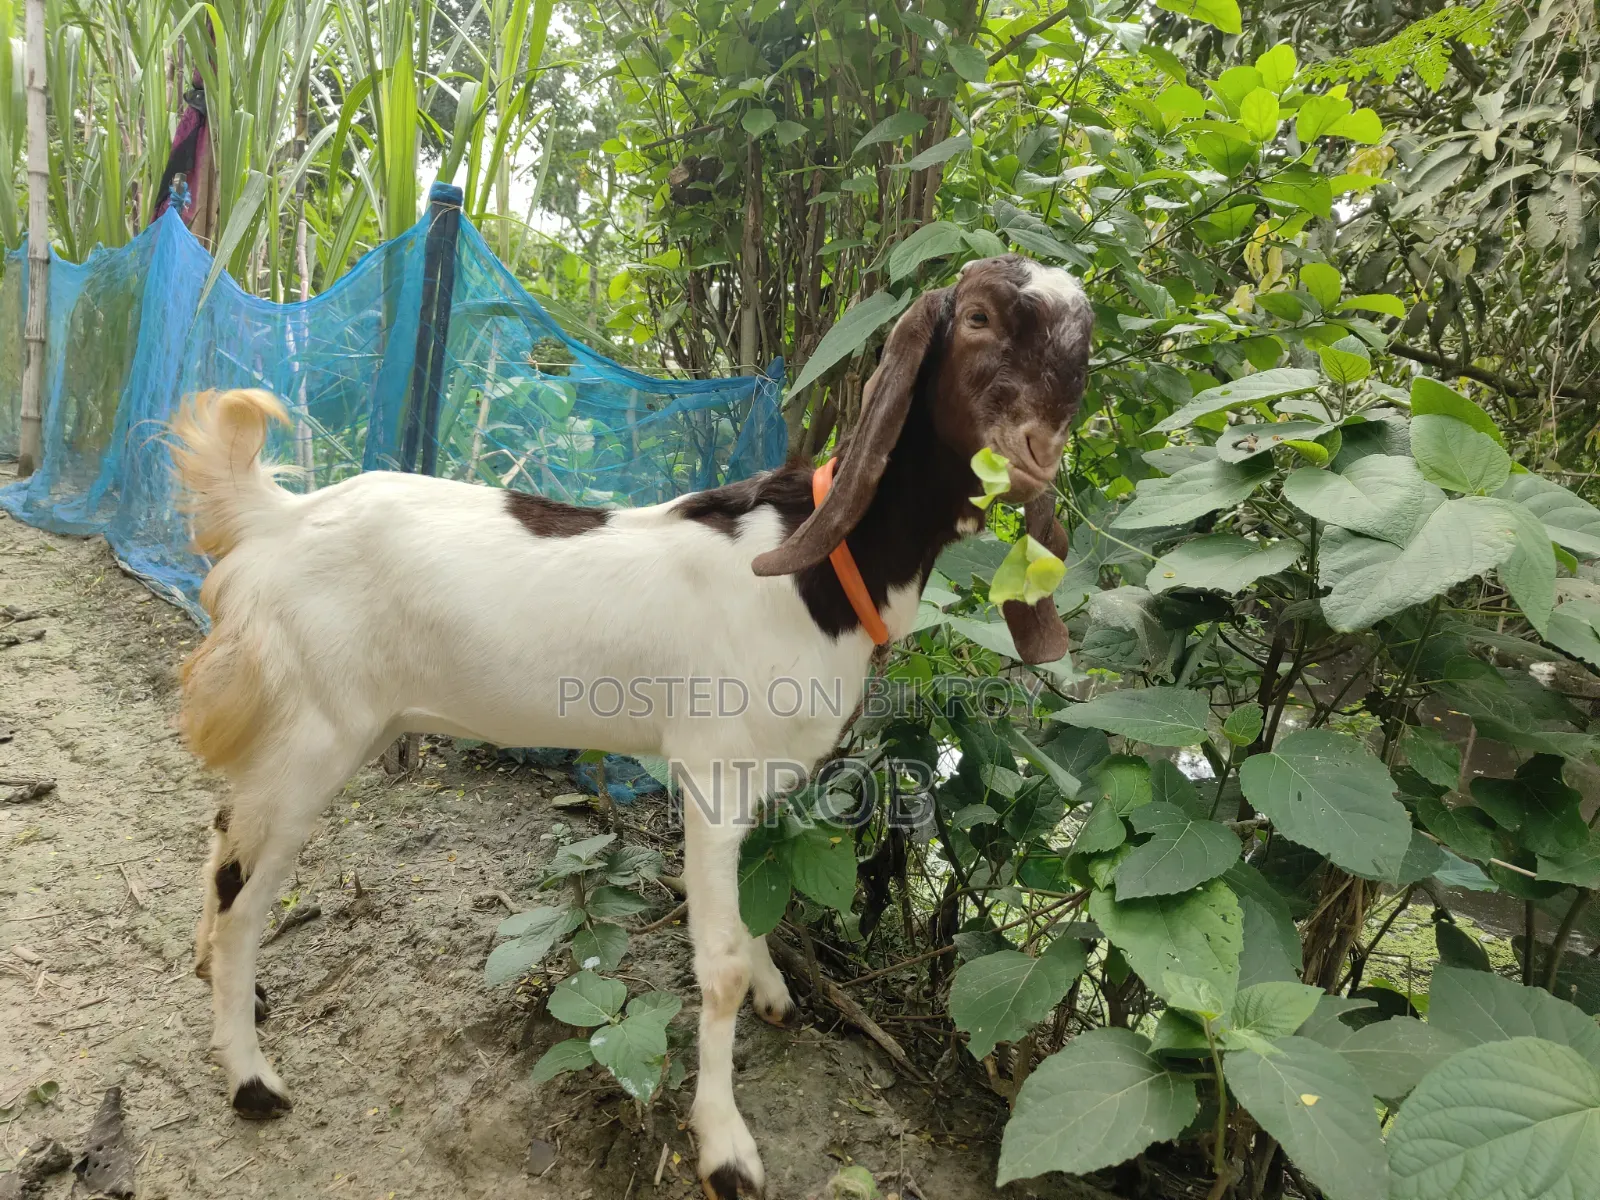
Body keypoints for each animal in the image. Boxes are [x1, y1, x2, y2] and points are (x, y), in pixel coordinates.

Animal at [171, 254, 1092, 1199]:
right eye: (978, 318)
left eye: (1083, 339)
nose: (1037, 456)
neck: (819, 566)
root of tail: (274, 518)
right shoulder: (713, 774)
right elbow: (717, 963)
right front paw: (725, 1146)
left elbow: (755, 911)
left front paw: (775, 991)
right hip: (316, 726)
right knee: (244, 889)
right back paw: (250, 1076)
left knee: (223, 832)